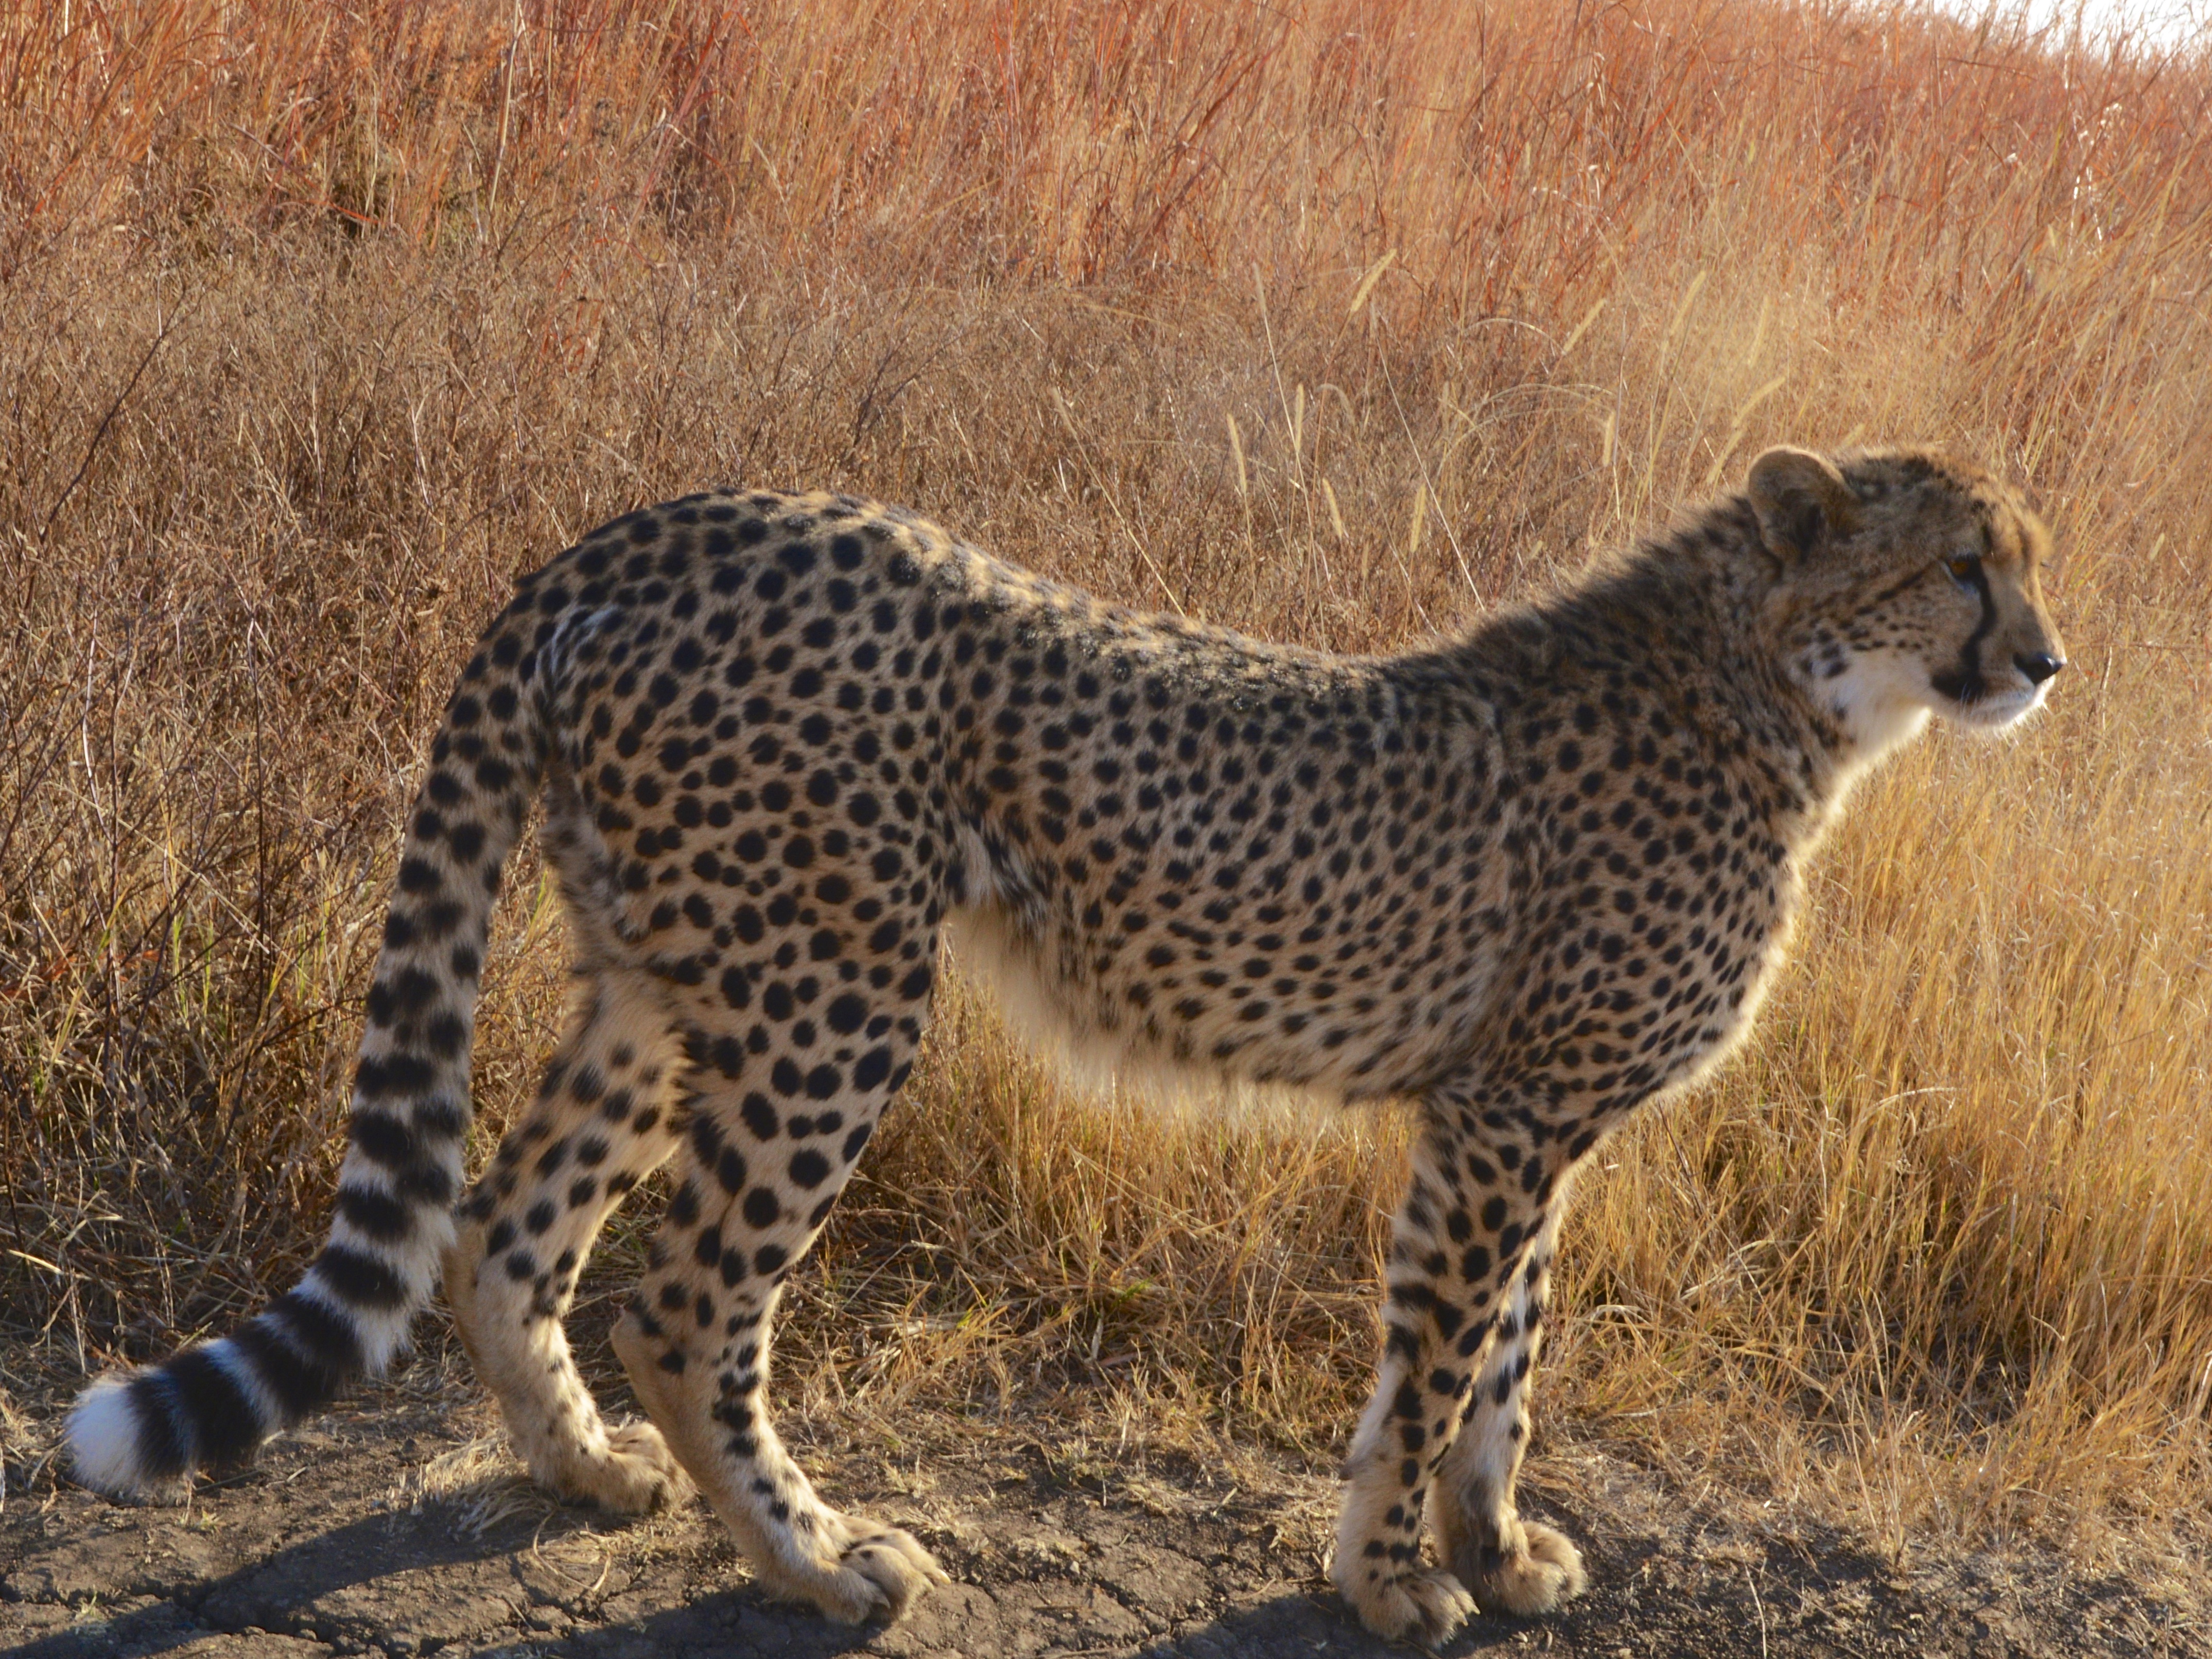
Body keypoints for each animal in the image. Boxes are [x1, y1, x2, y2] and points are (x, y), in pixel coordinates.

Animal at [66, 444, 2064, 1645]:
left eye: (2026, 564)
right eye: (1960, 565)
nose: (2044, 663)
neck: (1774, 691)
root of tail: (658, 519)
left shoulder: (1525, 1113)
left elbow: (1503, 1358)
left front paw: (1496, 1552)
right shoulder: (1503, 1117)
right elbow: (1436, 1368)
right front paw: (1391, 1584)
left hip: (662, 977)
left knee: (505, 1229)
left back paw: (585, 1473)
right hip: (835, 993)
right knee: (685, 1299)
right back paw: (819, 1562)